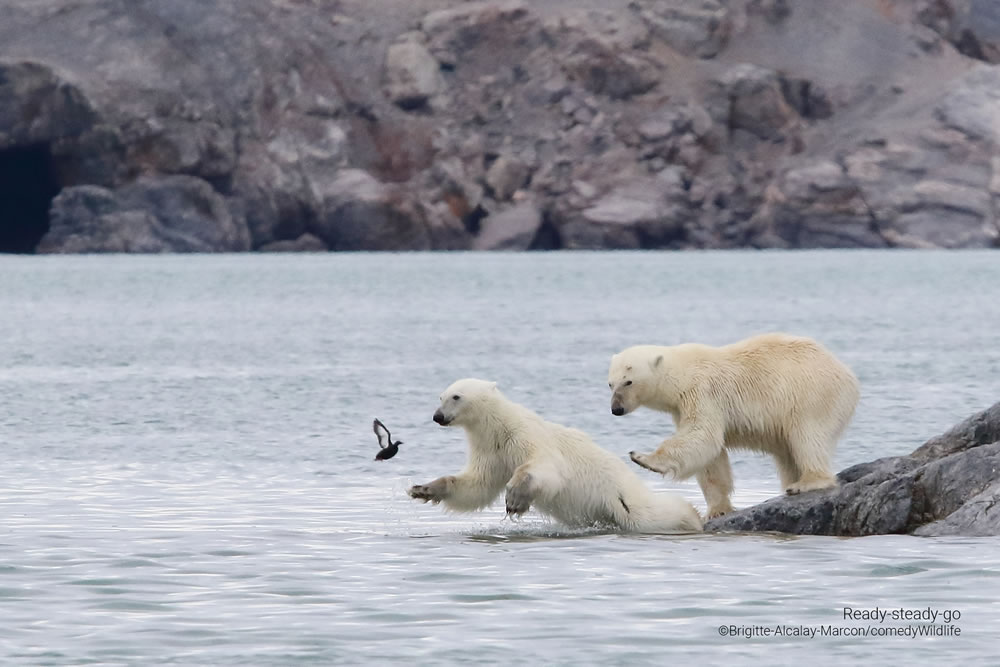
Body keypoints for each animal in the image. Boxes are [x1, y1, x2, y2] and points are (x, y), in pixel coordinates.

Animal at [408, 380, 704, 532]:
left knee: (650, 514)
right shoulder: (491, 451)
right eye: (441, 396)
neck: (498, 426)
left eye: (456, 396)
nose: (437, 416)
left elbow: (546, 469)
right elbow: (477, 486)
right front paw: (423, 488)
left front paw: (515, 499)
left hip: (622, 497)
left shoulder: (523, 435)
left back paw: (690, 515)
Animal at [608, 332, 860, 516]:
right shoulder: (681, 407)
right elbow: (712, 459)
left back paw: (806, 482)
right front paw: (717, 510)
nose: (616, 409)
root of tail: (848, 374)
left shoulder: (702, 393)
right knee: (788, 453)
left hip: (812, 394)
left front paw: (643, 458)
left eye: (628, 381)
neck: (683, 372)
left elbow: (703, 436)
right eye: (610, 383)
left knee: (807, 436)